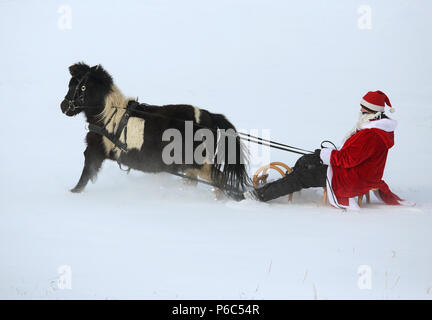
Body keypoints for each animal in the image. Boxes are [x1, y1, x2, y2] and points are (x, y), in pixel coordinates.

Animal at [60, 62, 250, 198]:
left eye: (76, 86)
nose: (63, 106)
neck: (107, 115)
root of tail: (208, 116)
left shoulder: (95, 150)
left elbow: (86, 173)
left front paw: (73, 192)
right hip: (189, 164)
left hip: (198, 161)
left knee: (219, 179)